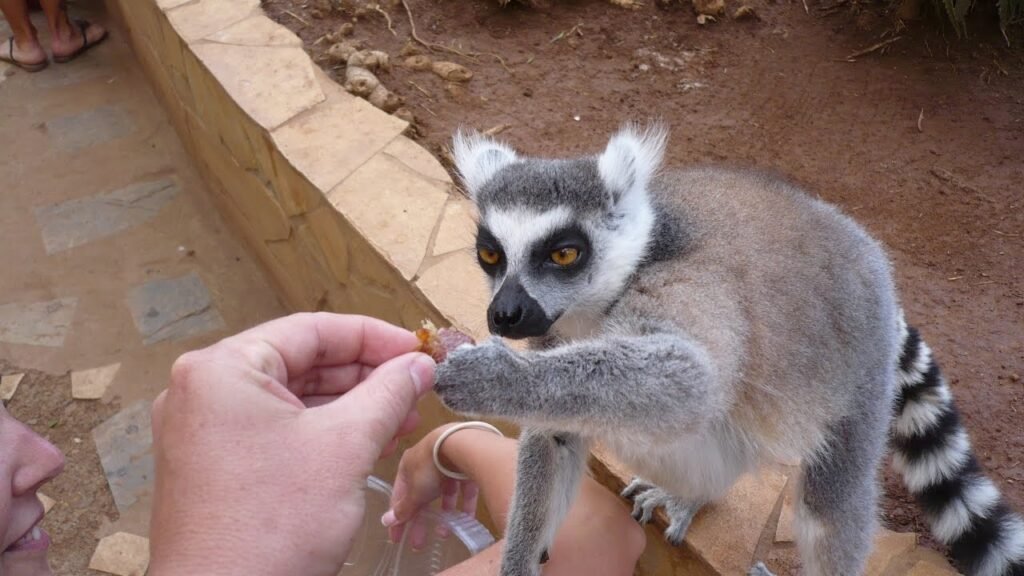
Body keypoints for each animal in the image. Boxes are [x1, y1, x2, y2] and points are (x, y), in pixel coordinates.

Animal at [430, 125, 1024, 576]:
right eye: (490, 254)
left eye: (564, 253)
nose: (504, 315)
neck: (597, 308)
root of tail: (869, 255)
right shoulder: (558, 333)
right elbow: (555, 435)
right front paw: (520, 561)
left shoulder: (684, 282)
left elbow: (690, 377)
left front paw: (488, 380)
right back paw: (690, 494)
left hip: (858, 368)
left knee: (829, 502)